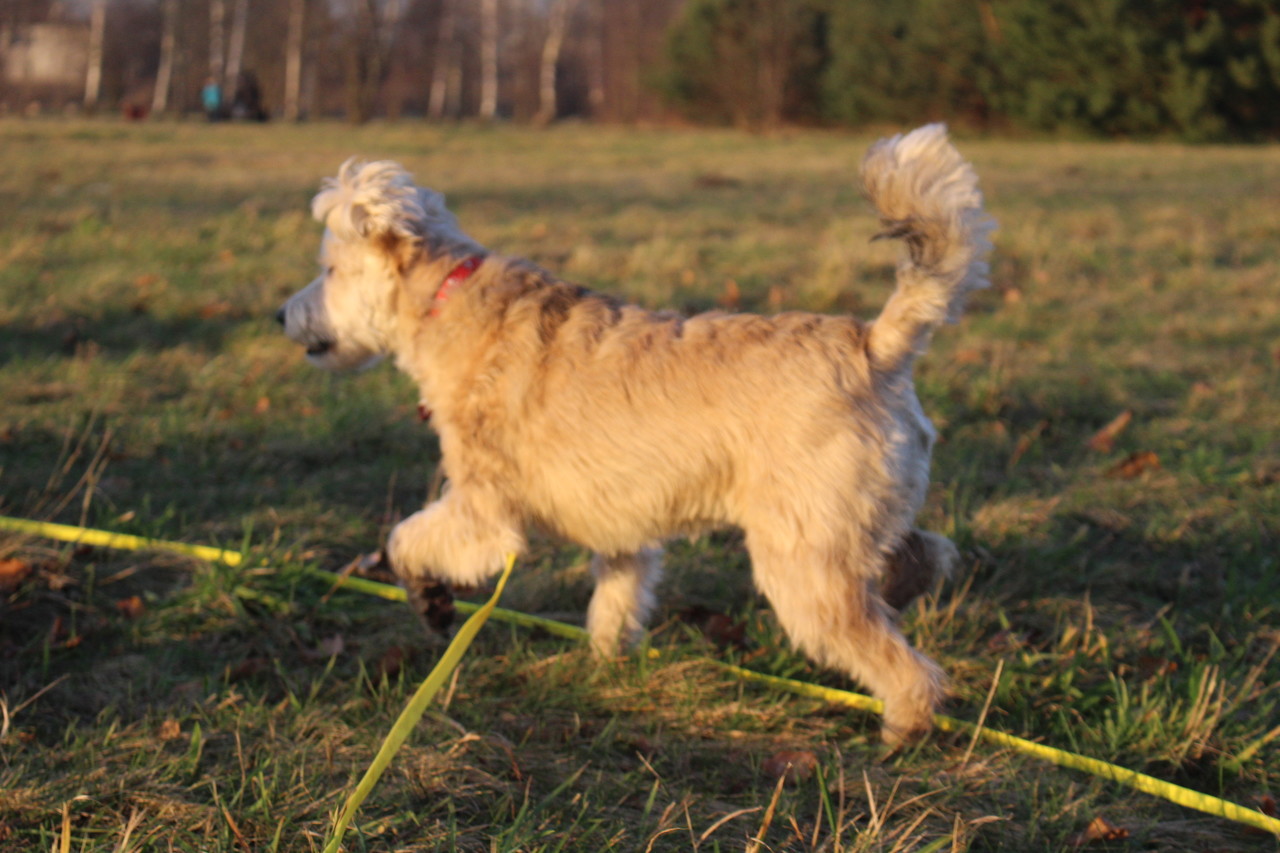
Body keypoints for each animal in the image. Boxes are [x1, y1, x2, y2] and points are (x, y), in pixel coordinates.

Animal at [277, 124, 994, 744]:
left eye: (330, 270)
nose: (279, 314)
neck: (448, 300)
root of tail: (876, 343)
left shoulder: (484, 515)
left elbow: (405, 539)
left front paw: (430, 601)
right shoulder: (623, 531)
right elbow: (615, 602)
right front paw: (604, 665)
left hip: (803, 559)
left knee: (898, 657)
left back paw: (904, 728)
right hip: (848, 522)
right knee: (925, 555)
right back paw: (900, 599)